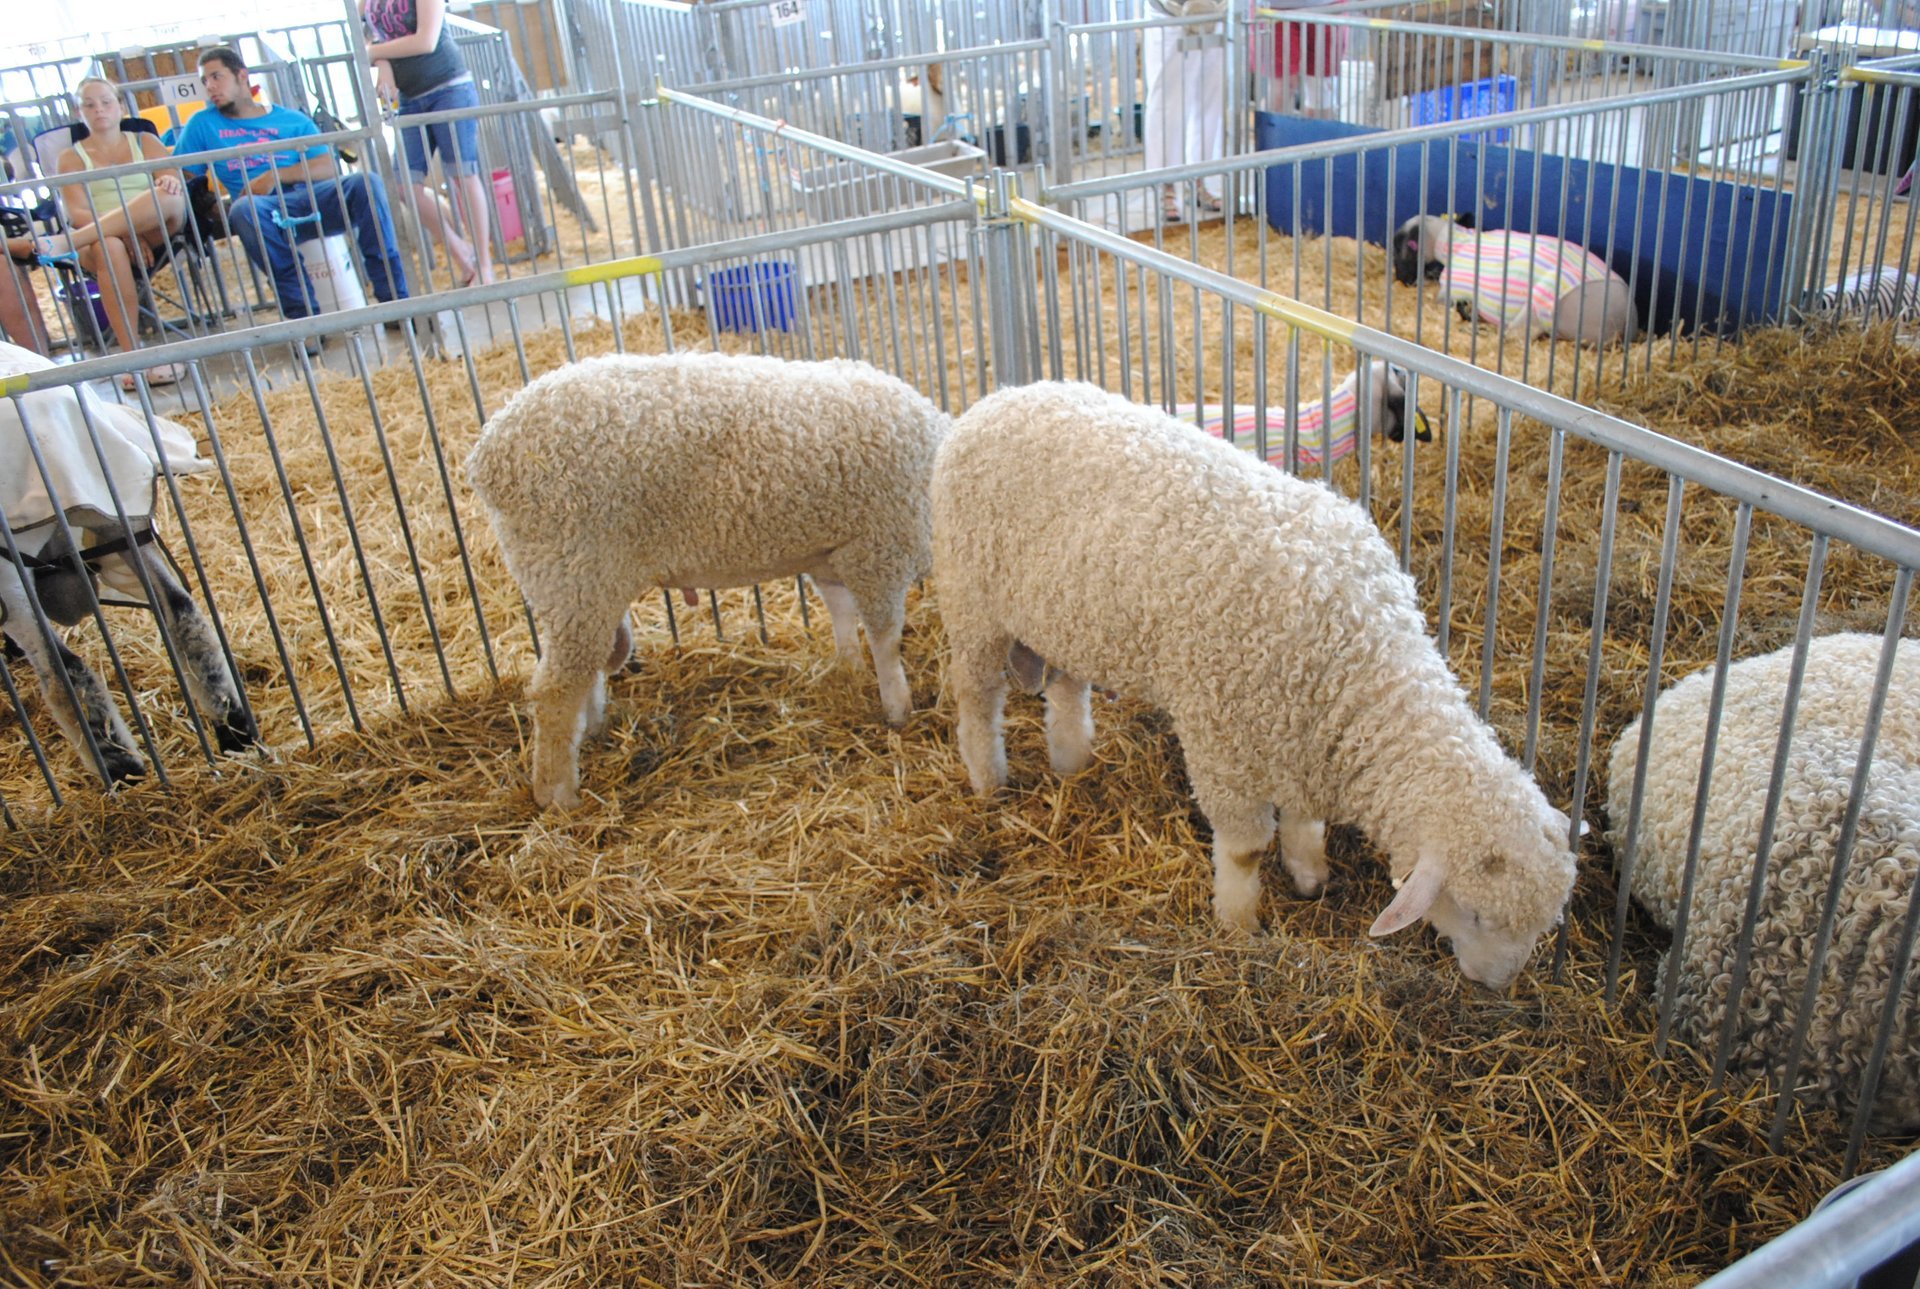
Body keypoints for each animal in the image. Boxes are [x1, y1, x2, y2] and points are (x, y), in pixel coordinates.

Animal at [1, 341, 257, 779]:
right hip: (119, 516)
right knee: (182, 611)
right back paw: (233, 726)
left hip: (12, 567)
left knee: (61, 670)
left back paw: (121, 768)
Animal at [464, 355, 944, 806]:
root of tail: (488, 453)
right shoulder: (879, 549)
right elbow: (886, 638)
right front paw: (898, 708)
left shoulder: (836, 553)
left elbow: (841, 614)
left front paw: (849, 670)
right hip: (571, 572)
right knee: (554, 691)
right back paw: (559, 793)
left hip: (580, 587)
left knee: (584, 670)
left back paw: (594, 730)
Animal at [929, 378, 1574, 991]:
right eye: (1476, 914)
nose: (1497, 986)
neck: (1357, 655)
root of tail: (996, 400)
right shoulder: (1222, 735)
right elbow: (1243, 849)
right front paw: (1238, 925)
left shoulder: (1302, 735)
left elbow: (1305, 821)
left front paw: (1310, 875)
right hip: (971, 599)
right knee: (976, 698)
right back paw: (988, 779)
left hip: (1063, 616)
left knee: (1065, 688)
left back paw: (1071, 760)